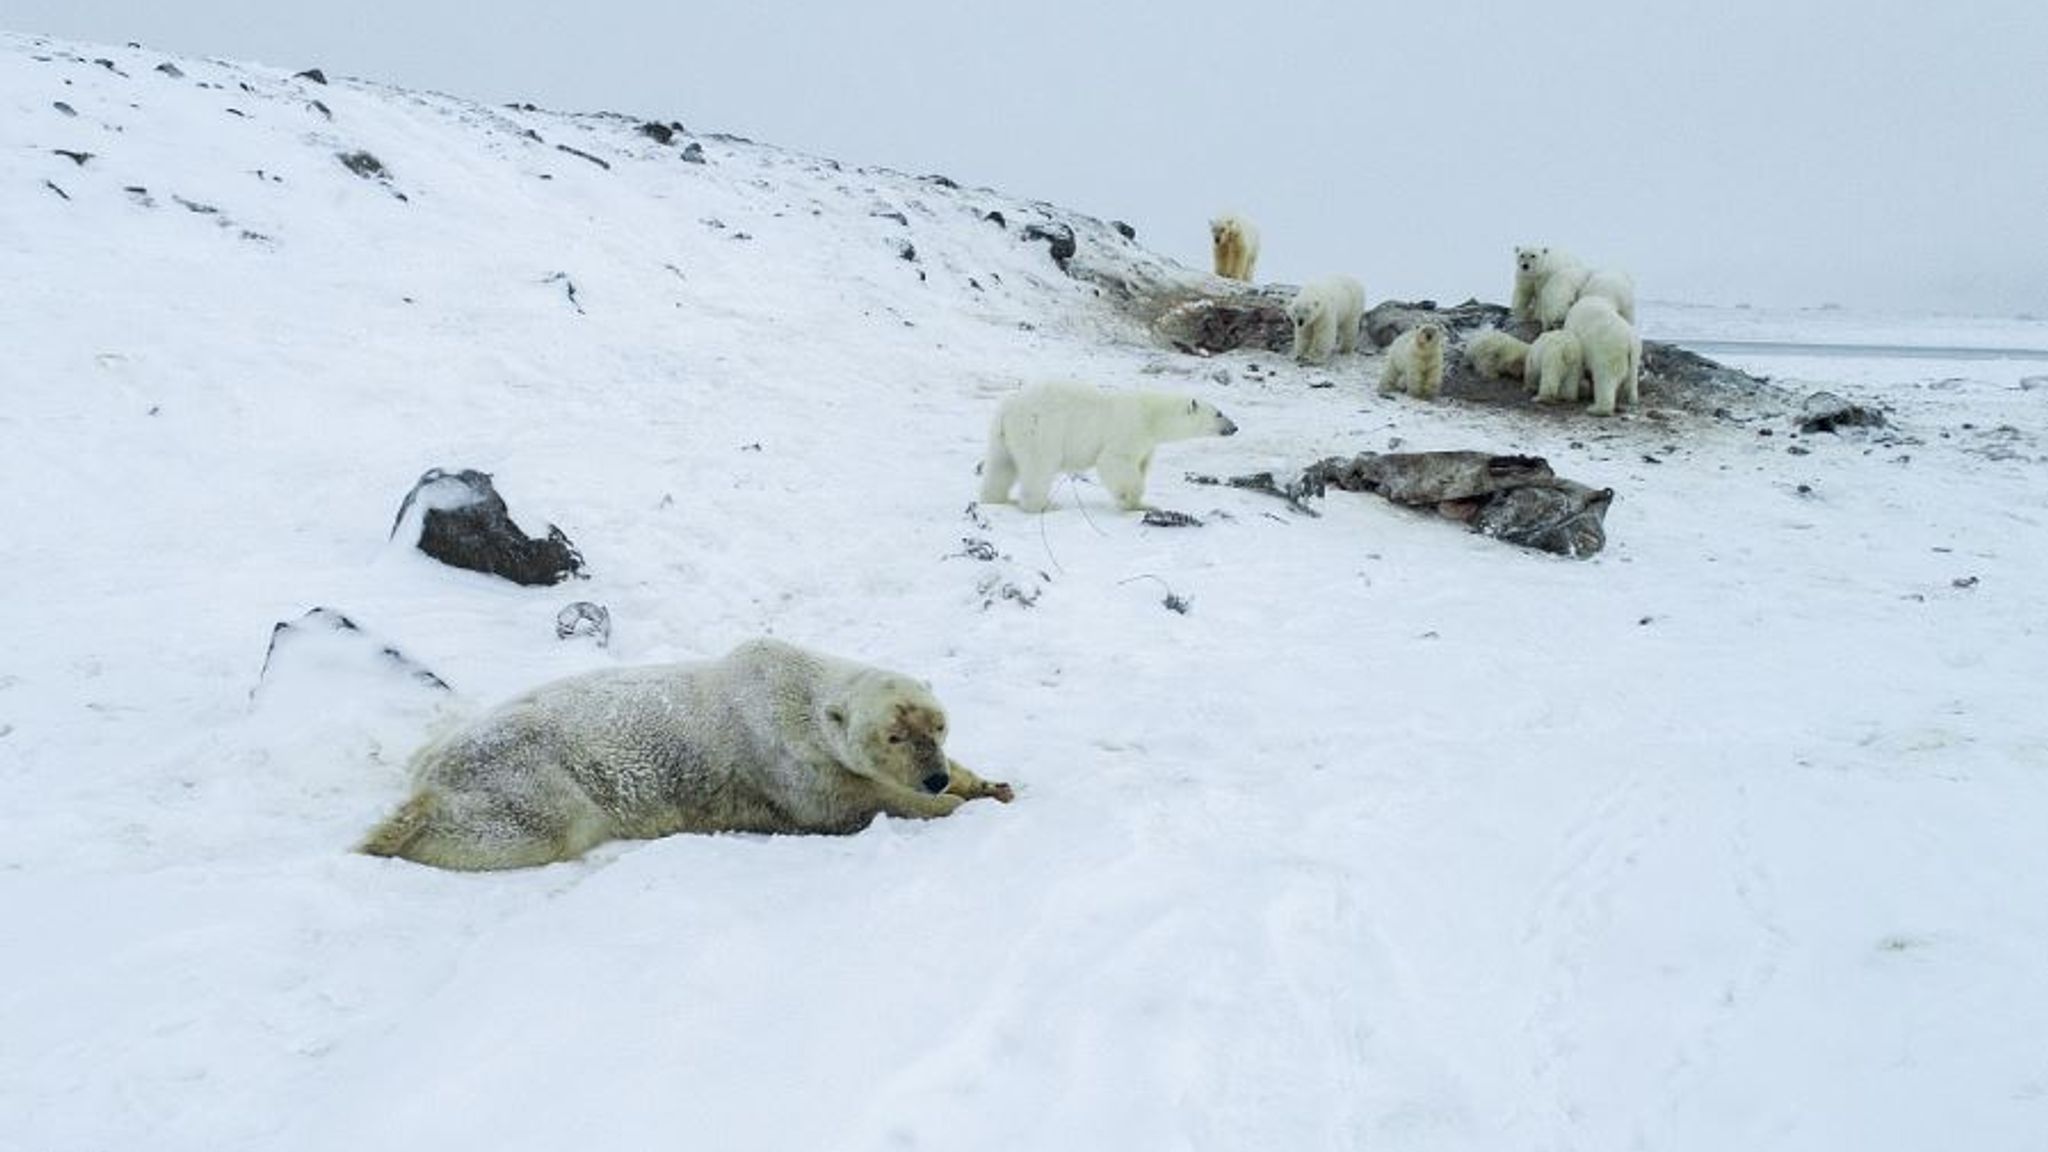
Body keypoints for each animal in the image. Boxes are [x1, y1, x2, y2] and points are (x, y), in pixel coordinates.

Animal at [364, 631, 1019, 865]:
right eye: (894, 735)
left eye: (939, 727)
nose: (933, 776)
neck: (796, 688)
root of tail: (431, 765)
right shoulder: (785, 757)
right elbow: (850, 802)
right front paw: (948, 804)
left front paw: (989, 783)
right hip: (529, 775)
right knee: (526, 826)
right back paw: (392, 834)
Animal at [974, 379, 1228, 508]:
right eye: (1219, 413)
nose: (1233, 427)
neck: (1152, 415)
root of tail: (1007, 411)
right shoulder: (1130, 428)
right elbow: (1115, 461)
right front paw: (1134, 503)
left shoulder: (1147, 443)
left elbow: (1141, 464)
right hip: (1039, 429)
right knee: (1039, 466)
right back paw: (1041, 505)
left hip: (1001, 436)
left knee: (1001, 465)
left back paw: (998, 498)